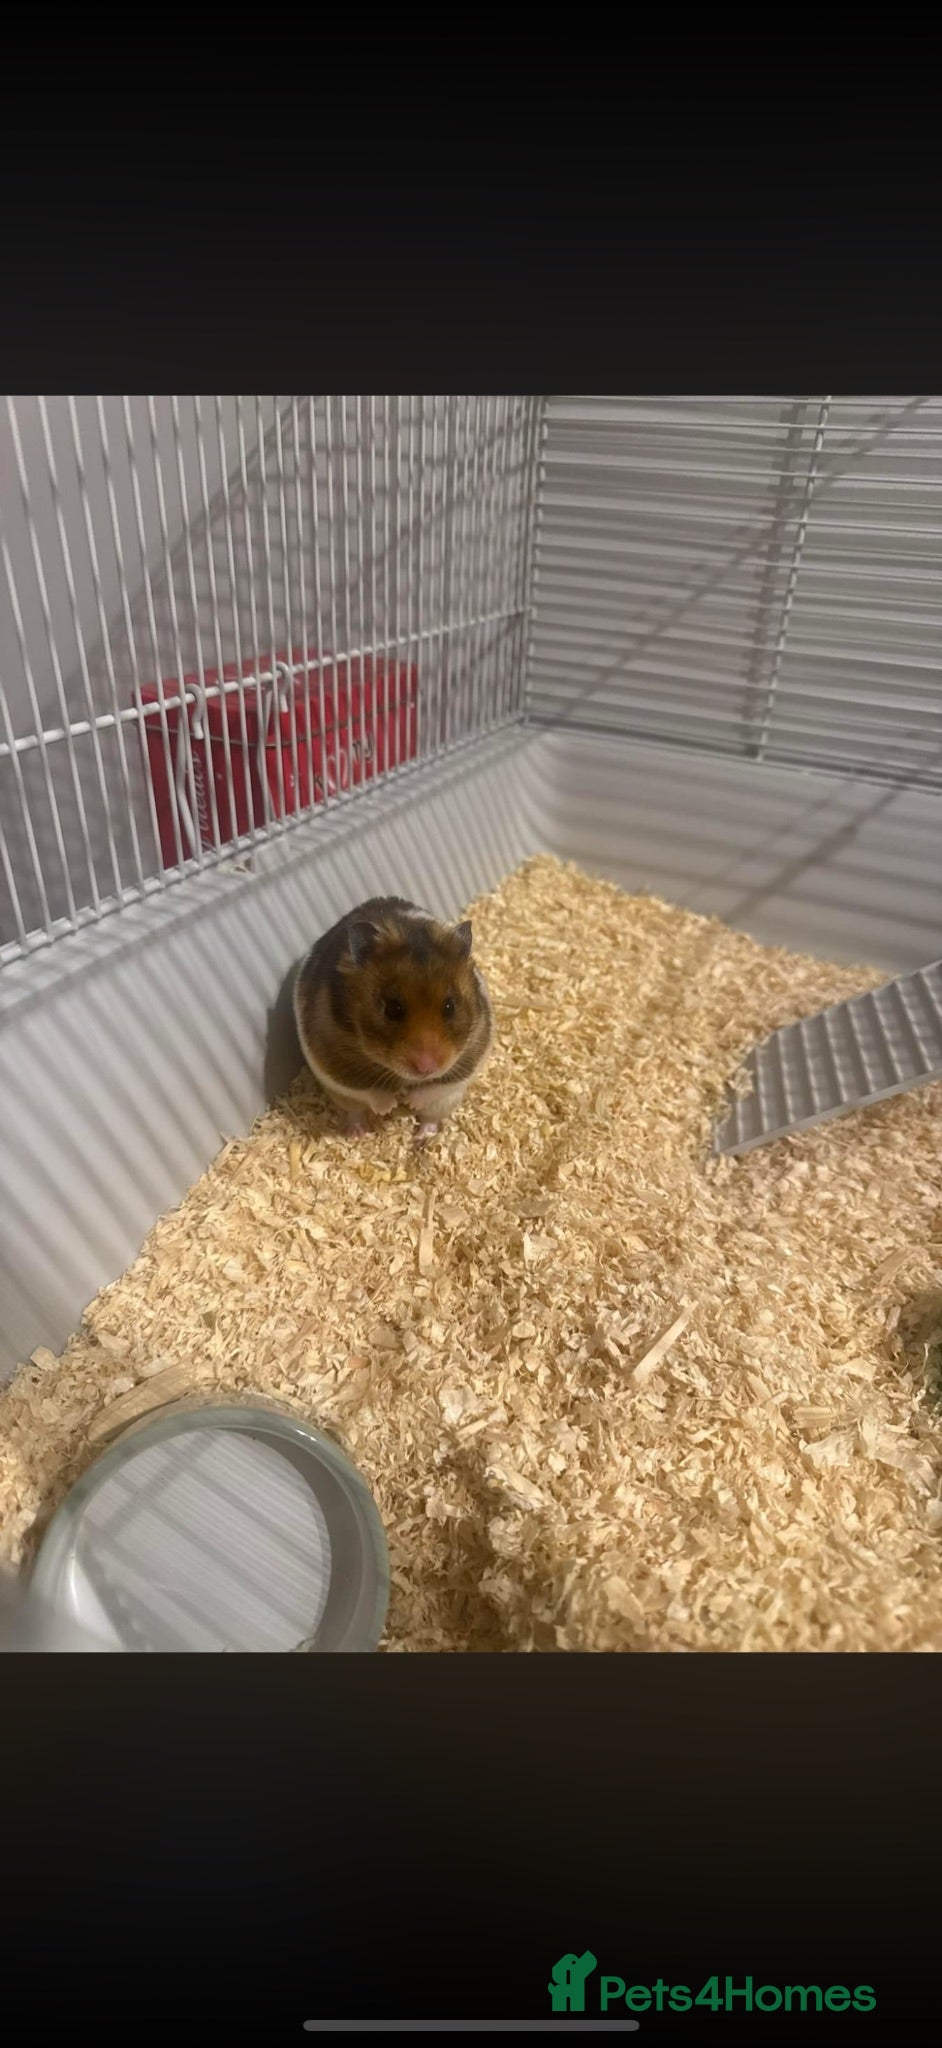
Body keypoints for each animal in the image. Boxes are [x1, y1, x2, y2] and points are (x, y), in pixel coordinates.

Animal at [294, 896, 493, 1142]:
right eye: (392, 1008)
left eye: (450, 1006)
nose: (426, 1068)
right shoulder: (336, 1066)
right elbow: (369, 1090)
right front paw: (390, 1106)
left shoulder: (470, 1058)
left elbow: (436, 1087)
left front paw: (409, 1101)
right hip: (342, 1098)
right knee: (354, 1111)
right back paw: (356, 1133)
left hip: (446, 1102)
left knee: (431, 1117)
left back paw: (422, 1137)